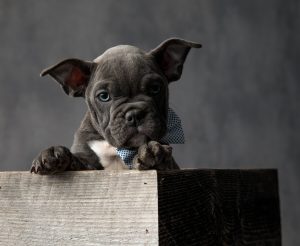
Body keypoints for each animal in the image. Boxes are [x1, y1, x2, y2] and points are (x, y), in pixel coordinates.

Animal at [30, 38, 202, 175]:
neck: (117, 150)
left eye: (155, 88)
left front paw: (154, 152)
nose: (134, 114)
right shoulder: (87, 163)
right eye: (104, 96)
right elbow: (77, 161)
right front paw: (52, 154)